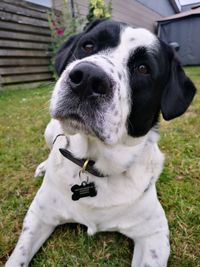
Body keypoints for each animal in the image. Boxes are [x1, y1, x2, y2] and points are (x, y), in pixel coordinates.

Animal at [5, 19, 196, 267]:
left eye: (143, 68)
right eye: (88, 46)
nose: (87, 78)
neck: (93, 163)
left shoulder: (154, 234)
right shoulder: (39, 214)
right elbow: (17, 257)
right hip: (50, 130)